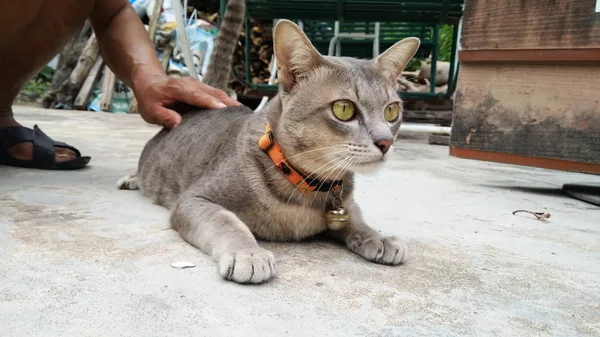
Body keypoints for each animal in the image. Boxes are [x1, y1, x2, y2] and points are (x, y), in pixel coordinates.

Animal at [117, 2, 418, 282]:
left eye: (392, 111)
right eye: (343, 109)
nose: (385, 142)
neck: (308, 185)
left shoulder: (344, 204)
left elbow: (355, 217)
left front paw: (378, 237)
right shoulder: (194, 200)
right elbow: (225, 221)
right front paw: (248, 253)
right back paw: (131, 179)